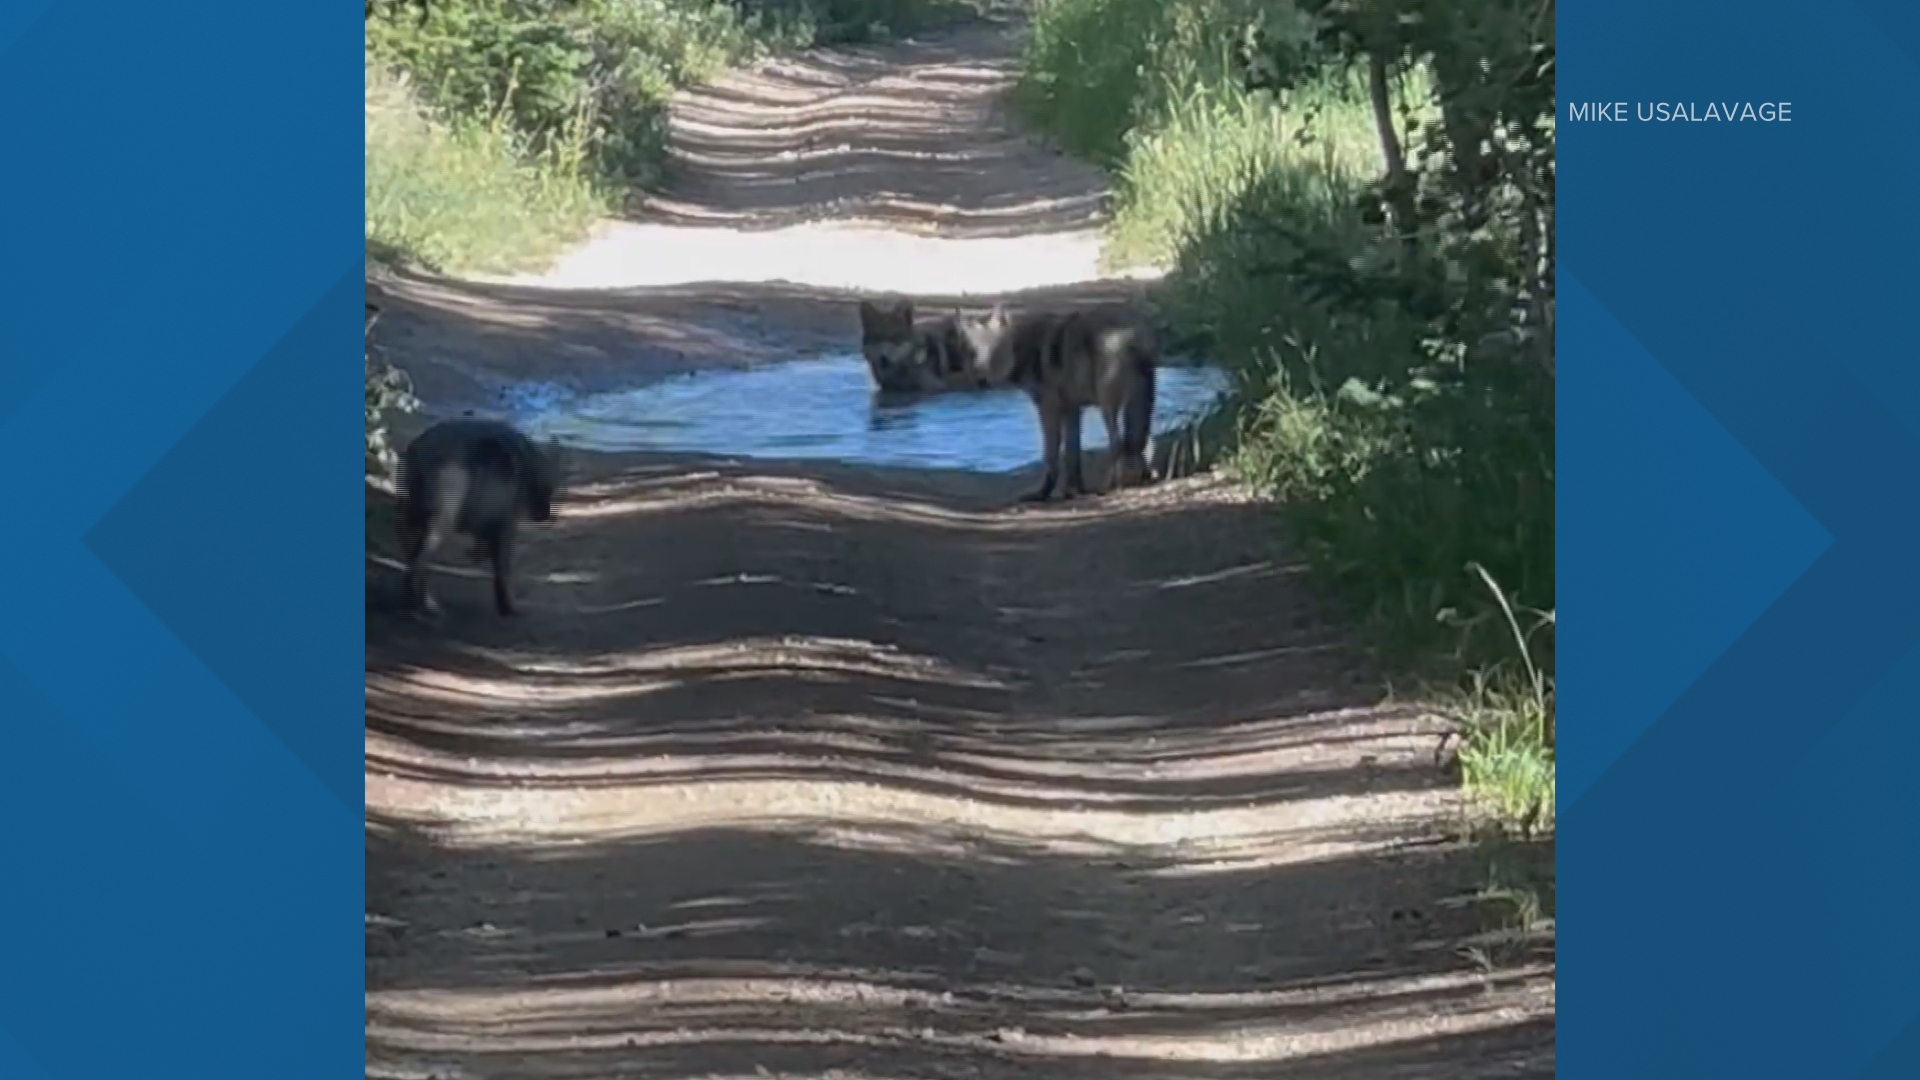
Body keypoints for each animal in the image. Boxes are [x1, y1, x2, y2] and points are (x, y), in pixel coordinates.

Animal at [393, 413, 560, 614]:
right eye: (549, 490)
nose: (546, 515)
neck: (528, 458)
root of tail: (419, 448)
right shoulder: (507, 525)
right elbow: (503, 568)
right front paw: (507, 605)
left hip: (413, 516)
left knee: (412, 556)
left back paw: (411, 597)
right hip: (442, 520)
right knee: (421, 559)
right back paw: (425, 604)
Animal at [956, 305, 1152, 503]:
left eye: (994, 350)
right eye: (973, 352)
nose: (981, 380)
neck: (1025, 348)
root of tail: (1130, 334)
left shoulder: (1047, 407)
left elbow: (1051, 455)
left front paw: (1043, 493)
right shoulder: (1072, 409)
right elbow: (1072, 455)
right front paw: (1074, 491)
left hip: (1108, 407)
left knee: (1117, 443)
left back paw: (1111, 486)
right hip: (1139, 405)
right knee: (1141, 441)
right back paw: (1143, 478)